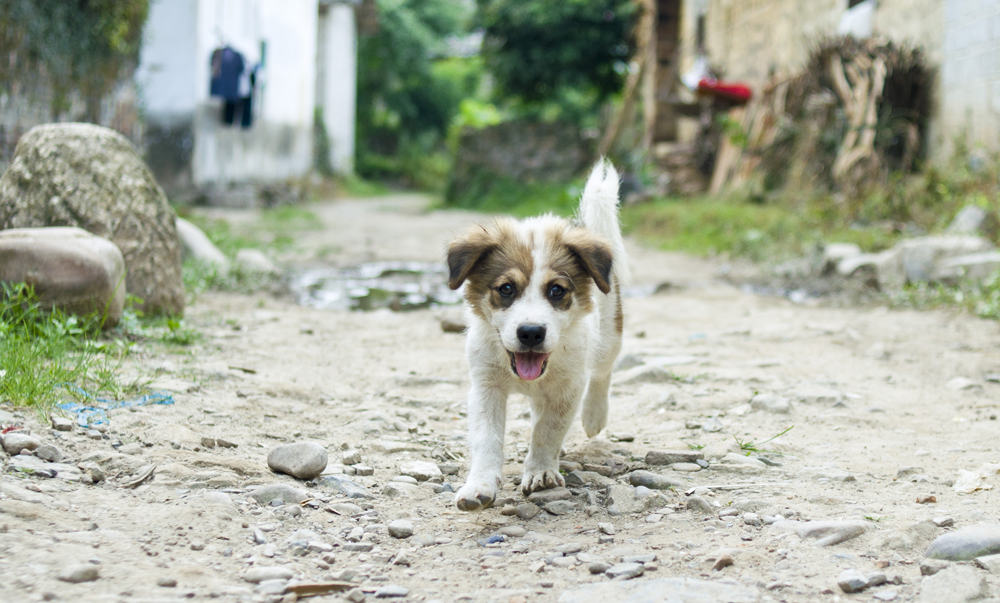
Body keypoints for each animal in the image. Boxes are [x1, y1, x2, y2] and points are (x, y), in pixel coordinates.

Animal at [450, 159, 628, 510]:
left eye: (556, 290)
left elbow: (549, 430)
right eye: (506, 289)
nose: (531, 333)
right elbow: (487, 438)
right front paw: (479, 485)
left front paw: (541, 471)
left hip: (609, 337)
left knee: (603, 374)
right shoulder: (486, 386)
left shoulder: (569, 386)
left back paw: (594, 415)